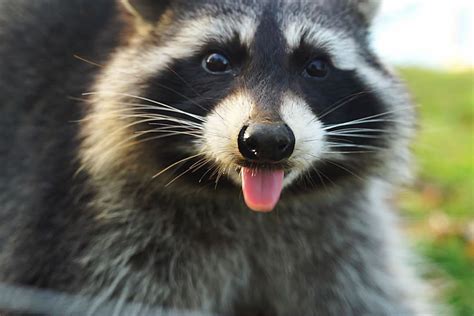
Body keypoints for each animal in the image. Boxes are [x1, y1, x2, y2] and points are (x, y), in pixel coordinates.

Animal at [0, 0, 432, 314]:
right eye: (217, 61)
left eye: (316, 67)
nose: (267, 141)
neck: (249, 208)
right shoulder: (97, 230)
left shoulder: (338, 234)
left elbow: (365, 295)